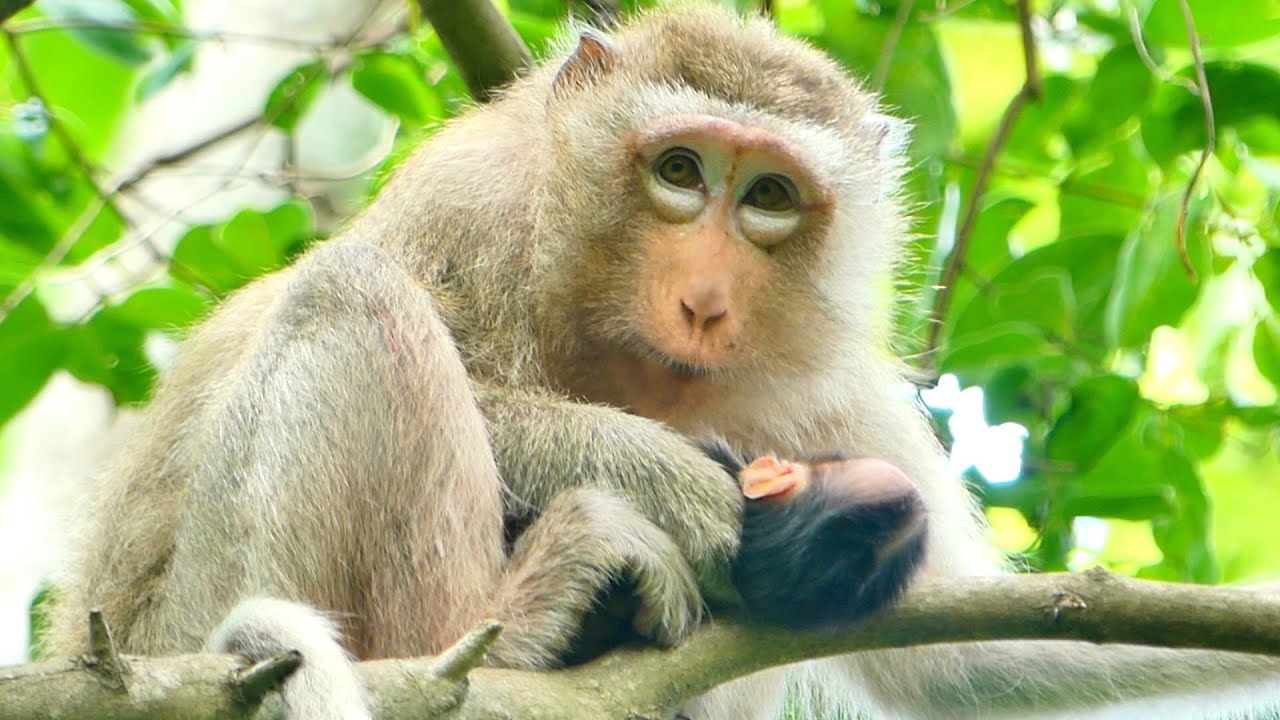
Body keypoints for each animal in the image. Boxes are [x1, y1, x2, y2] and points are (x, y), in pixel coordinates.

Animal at [42, 4, 1280, 720]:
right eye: (679, 171)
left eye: (768, 197)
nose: (702, 299)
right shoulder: (470, 204)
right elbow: (476, 383)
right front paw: (674, 482)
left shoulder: (831, 373)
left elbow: (971, 656)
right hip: (187, 633)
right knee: (351, 299)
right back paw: (508, 624)